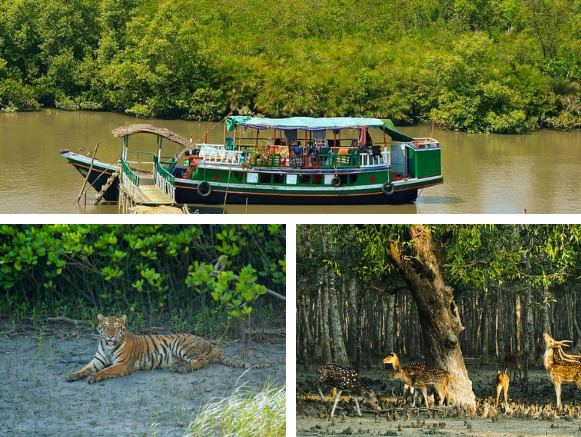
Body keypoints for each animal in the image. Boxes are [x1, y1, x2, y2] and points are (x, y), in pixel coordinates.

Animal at [66, 314, 262, 382]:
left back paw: (182, 369)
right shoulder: (97, 360)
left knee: (202, 362)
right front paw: (72, 375)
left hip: (182, 345)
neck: (108, 348)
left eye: (116, 327)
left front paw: (93, 377)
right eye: (106, 326)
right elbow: (84, 368)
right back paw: (177, 367)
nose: (110, 336)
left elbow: (106, 371)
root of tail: (211, 343)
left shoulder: (123, 365)